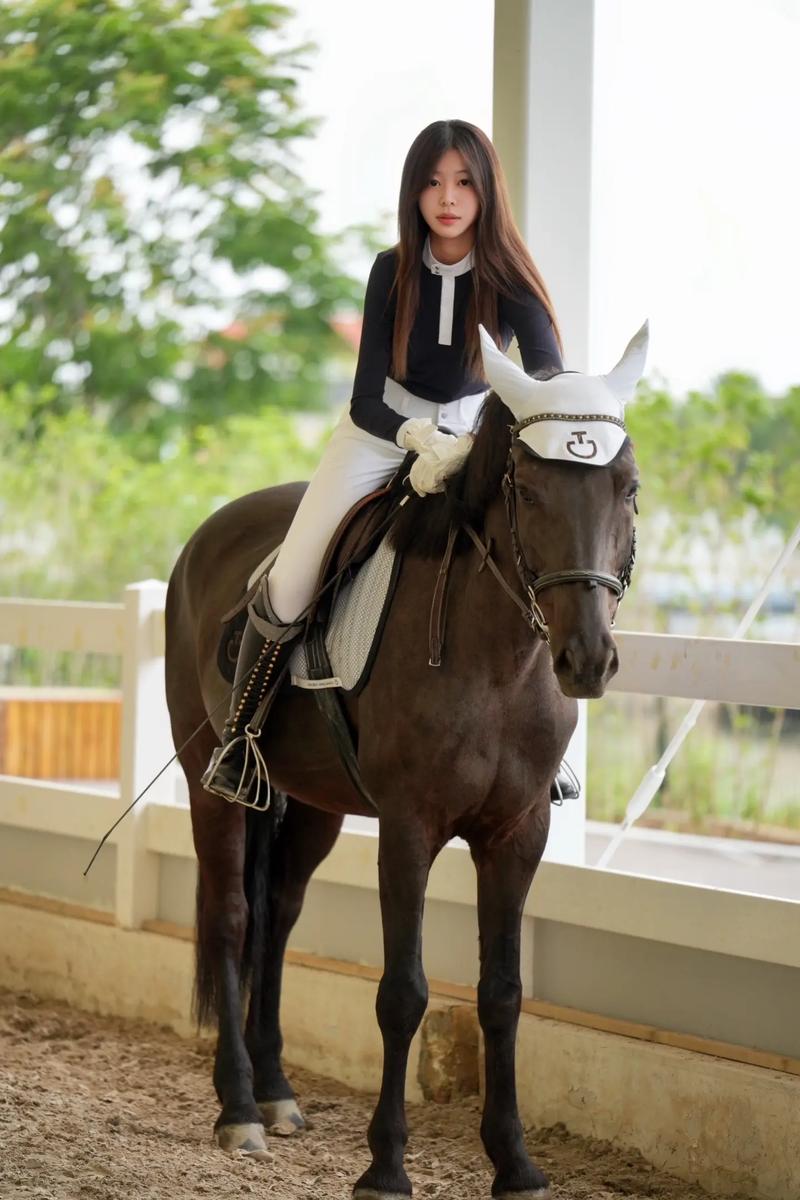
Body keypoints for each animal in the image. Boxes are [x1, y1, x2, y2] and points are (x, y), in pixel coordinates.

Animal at [164, 323, 645, 1199]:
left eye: (625, 488)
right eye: (529, 490)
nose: (588, 659)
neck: (498, 663)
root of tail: (206, 537)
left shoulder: (517, 834)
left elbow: (503, 994)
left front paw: (515, 1161)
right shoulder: (409, 828)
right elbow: (403, 992)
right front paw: (386, 1164)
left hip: (312, 806)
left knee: (278, 917)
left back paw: (277, 1093)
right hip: (211, 786)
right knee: (230, 918)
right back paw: (240, 1107)